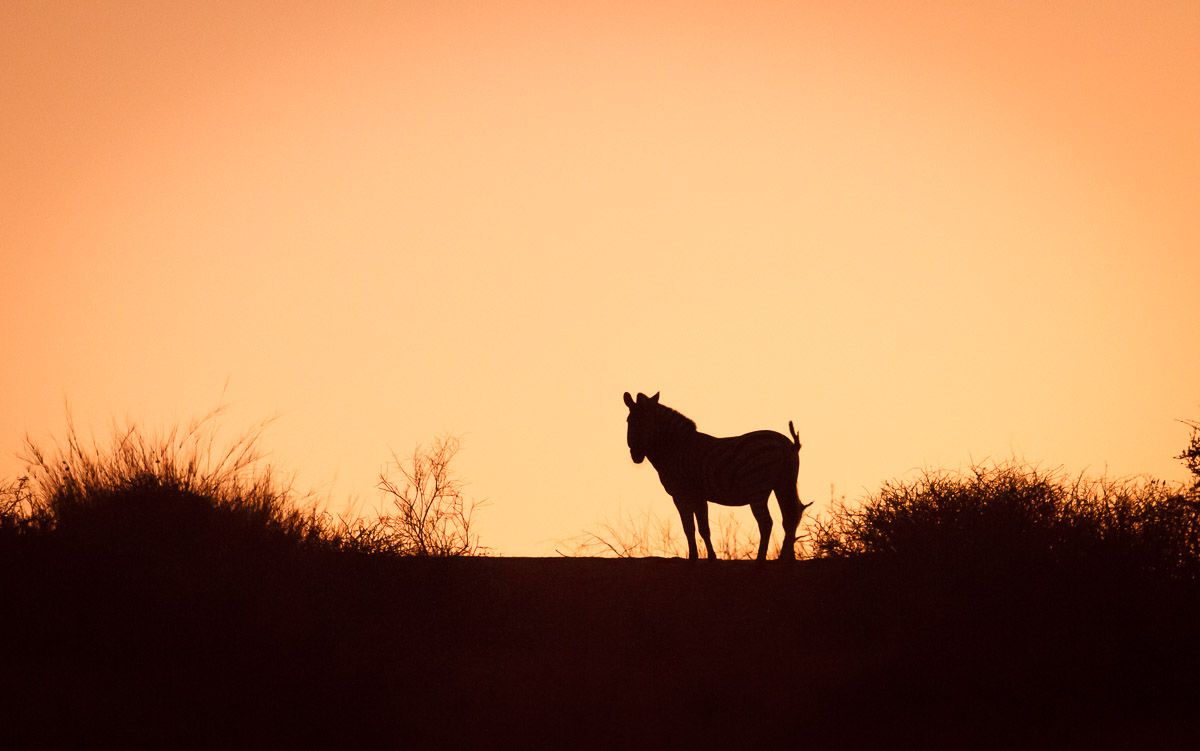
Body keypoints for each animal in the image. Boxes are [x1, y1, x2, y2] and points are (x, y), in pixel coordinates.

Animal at [623, 391, 812, 561]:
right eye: (629, 421)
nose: (636, 456)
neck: (674, 448)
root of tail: (785, 443)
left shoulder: (680, 494)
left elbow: (689, 528)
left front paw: (693, 559)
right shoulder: (699, 495)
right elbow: (703, 529)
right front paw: (711, 558)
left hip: (757, 488)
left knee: (766, 523)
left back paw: (760, 562)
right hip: (785, 484)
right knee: (790, 518)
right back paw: (786, 559)